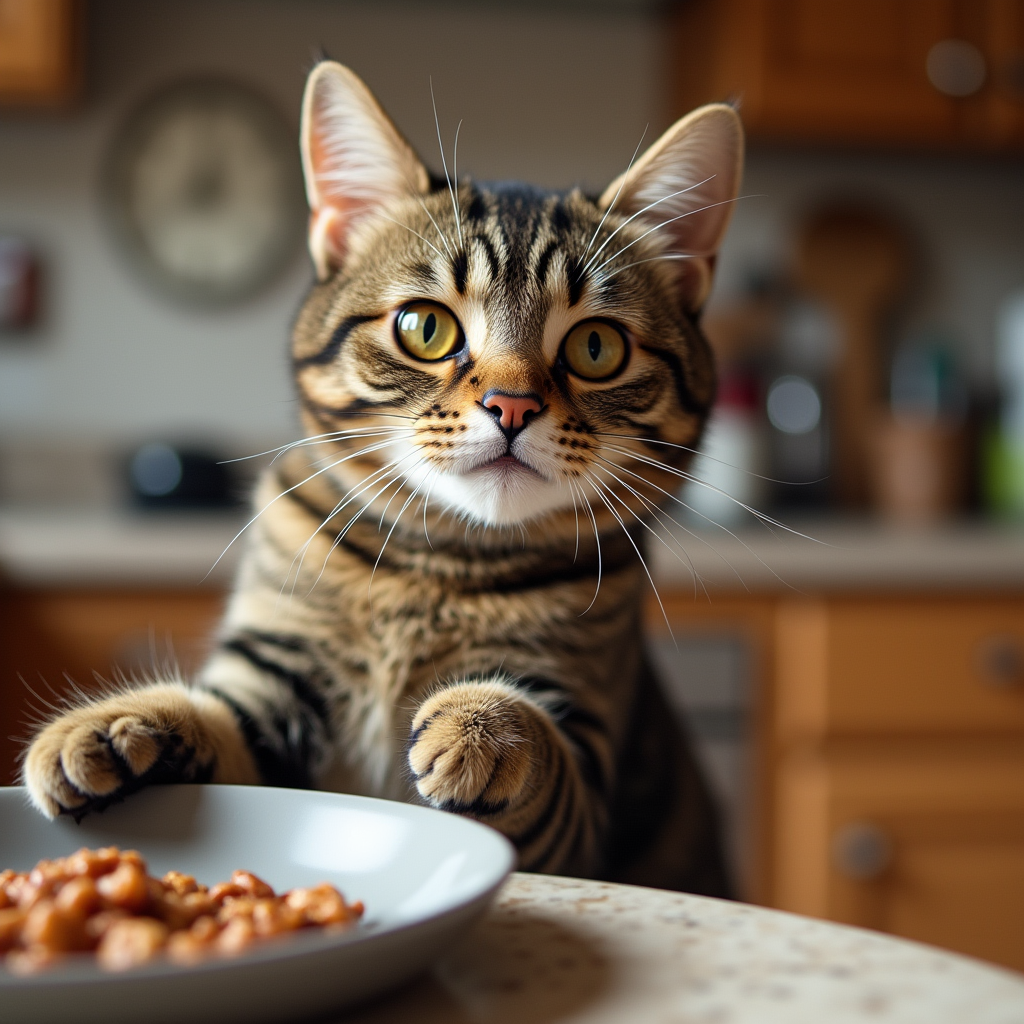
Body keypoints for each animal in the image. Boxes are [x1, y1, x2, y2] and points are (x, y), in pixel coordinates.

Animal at [24, 66, 745, 897]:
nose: (512, 405)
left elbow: (536, 743)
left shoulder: (581, 757)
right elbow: (213, 717)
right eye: (426, 328)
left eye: (596, 347)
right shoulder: (273, 683)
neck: (433, 572)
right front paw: (111, 725)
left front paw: (485, 725)